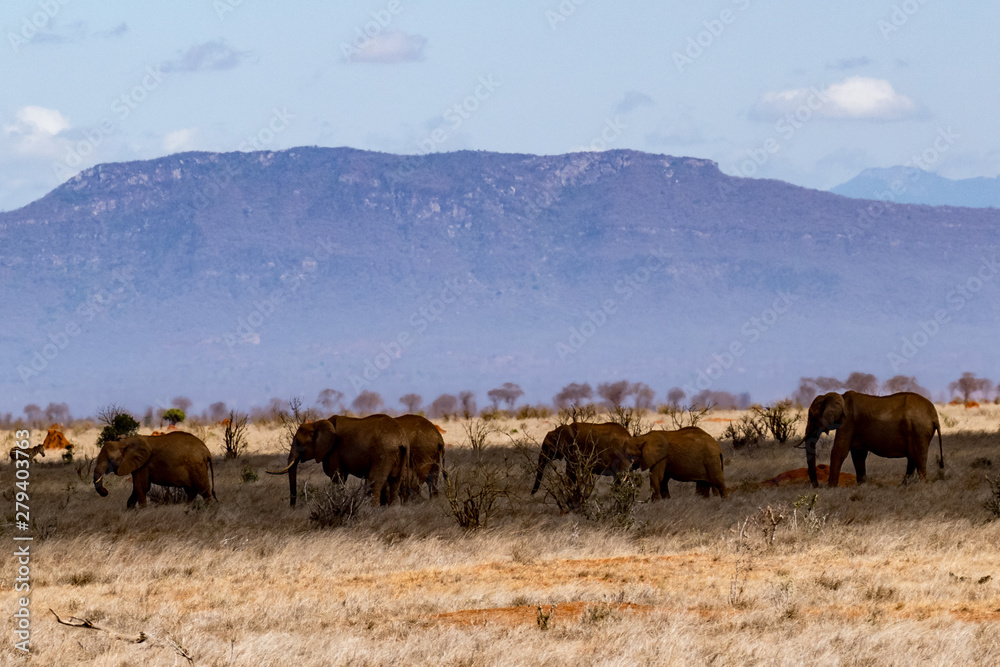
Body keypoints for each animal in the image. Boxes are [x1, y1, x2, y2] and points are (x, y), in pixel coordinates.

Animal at [267, 415, 409, 507]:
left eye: (298, 442)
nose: (292, 508)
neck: (318, 423)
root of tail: (401, 440)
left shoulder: (334, 450)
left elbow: (337, 477)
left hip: (383, 453)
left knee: (375, 481)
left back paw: (372, 510)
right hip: (399, 455)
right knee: (395, 481)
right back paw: (392, 509)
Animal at [799, 391, 943, 488]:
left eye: (811, 415)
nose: (816, 486)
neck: (837, 396)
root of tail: (934, 415)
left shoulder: (847, 422)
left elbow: (839, 451)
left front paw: (831, 487)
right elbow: (858, 454)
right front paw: (862, 485)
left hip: (919, 430)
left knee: (918, 458)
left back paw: (922, 485)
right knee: (912, 458)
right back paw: (904, 486)